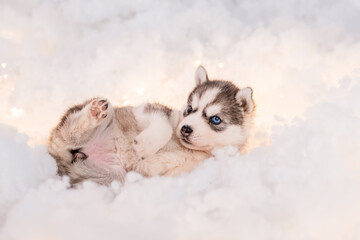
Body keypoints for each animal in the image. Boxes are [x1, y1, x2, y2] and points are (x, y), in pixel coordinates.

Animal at [47, 66, 255, 185]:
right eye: (189, 109)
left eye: (215, 119)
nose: (185, 129)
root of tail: (60, 158)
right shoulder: (148, 110)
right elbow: (164, 126)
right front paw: (145, 146)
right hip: (105, 118)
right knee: (72, 130)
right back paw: (94, 112)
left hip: (112, 176)